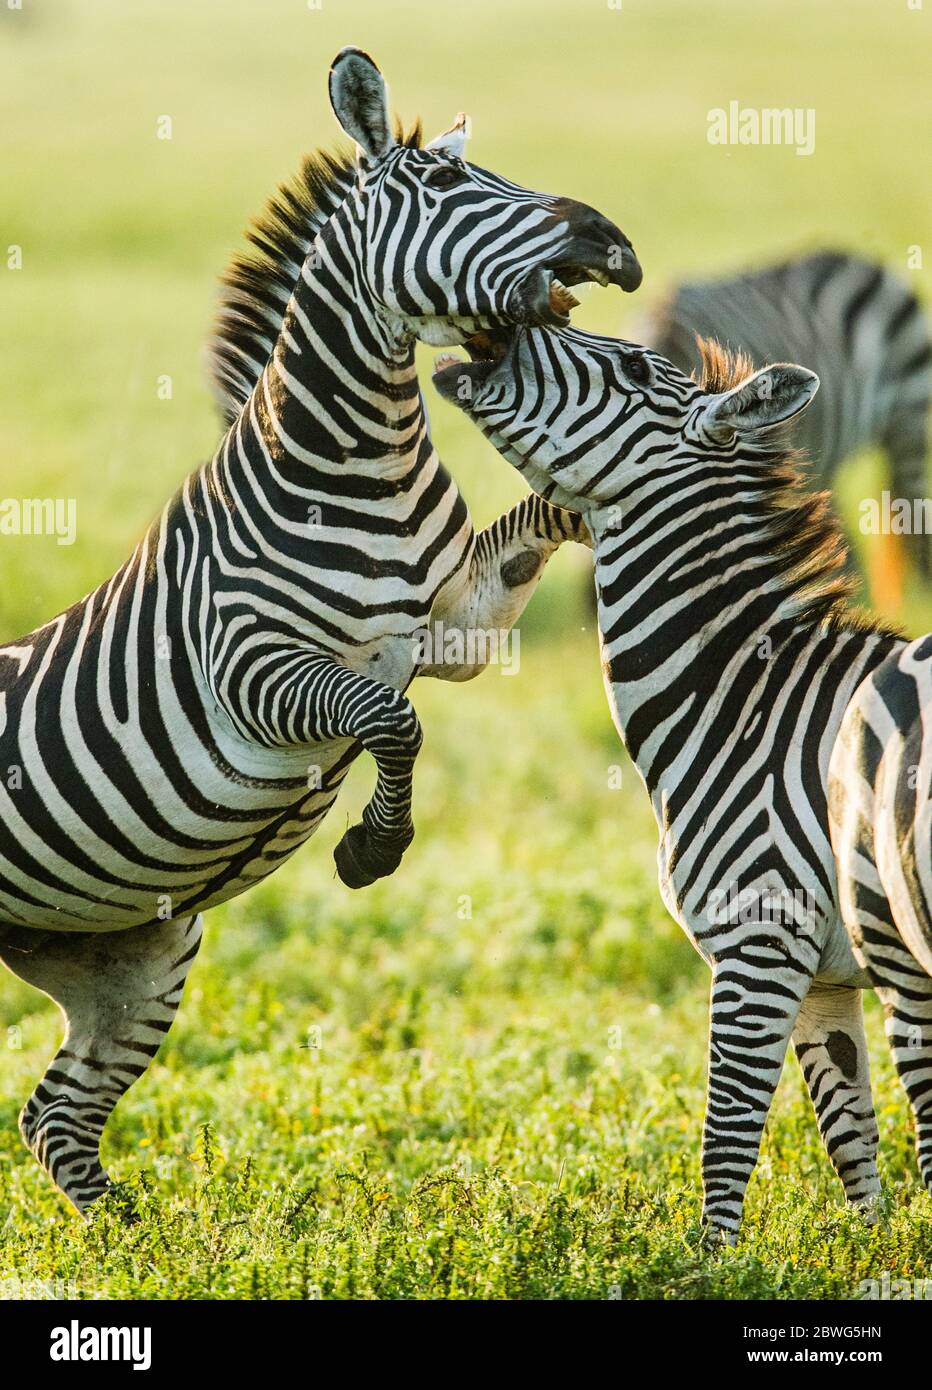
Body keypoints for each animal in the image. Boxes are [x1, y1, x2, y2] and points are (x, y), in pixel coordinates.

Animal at [0, 48, 641, 1212]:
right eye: (448, 185)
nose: (609, 240)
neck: (358, 463)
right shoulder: (250, 668)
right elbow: (390, 721)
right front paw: (371, 850)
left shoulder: (457, 625)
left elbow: (532, 533)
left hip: (129, 955)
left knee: (56, 1117)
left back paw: (145, 1238)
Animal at [438, 328, 916, 1251]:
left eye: (628, 368)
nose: (496, 335)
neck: (742, 703)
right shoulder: (823, 977)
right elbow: (852, 1139)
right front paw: (878, 1252)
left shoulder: (760, 935)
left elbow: (724, 1133)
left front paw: (713, 1265)